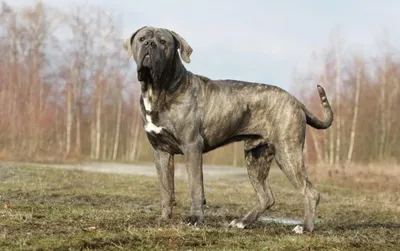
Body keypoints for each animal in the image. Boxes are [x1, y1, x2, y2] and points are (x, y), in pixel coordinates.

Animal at [123, 26, 332, 232]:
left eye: (163, 42)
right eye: (141, 39)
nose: (150, 44)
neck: (158, 90)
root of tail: (296, 101)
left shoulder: (192, 147)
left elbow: (195, 187)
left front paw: (195, 218)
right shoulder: (161, 151)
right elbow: (166, 189)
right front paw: (164, 218)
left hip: (287, 153)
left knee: (310, 192)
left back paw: (305, 227)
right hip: (255, 157)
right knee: (267, 197)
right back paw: (243, 222)